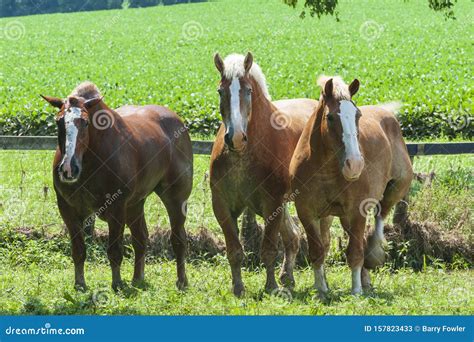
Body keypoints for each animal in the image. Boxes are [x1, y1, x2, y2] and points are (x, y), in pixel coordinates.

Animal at [41, 81, 193, 290]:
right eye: (58, 121)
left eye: (85, 122)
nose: (69, 168)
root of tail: (178, 123)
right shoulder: (68, 210)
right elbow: (79, 250)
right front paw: (80, 284)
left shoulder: (117, 208)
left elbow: (114, 251)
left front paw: (117, 283)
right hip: (135, 204)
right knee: (141, 239)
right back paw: (138, 279)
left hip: (176, 199)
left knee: (178, 239)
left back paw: (181, 281)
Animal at [209, 52, 332, 296]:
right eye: (220, 91)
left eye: (248, 90)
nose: (235, 138)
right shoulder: (222, 206)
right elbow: (234, 250)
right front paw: (238, 288)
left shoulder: (272, 203)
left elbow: (268, 249)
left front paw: (271, 287)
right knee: (293, 238)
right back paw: (288, 277)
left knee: (322, 241)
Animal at [288, 76, 412, 296]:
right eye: (330, 117)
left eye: (357, 115)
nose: (354, 164)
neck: (326, 169)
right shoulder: (306, 212)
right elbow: (317, 251)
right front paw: (321, 289)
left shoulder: (356, 211)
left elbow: (355, 253)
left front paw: (356, 291)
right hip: (340, 217)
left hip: (395, 189)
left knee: (379, 219)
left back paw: (373, 258)